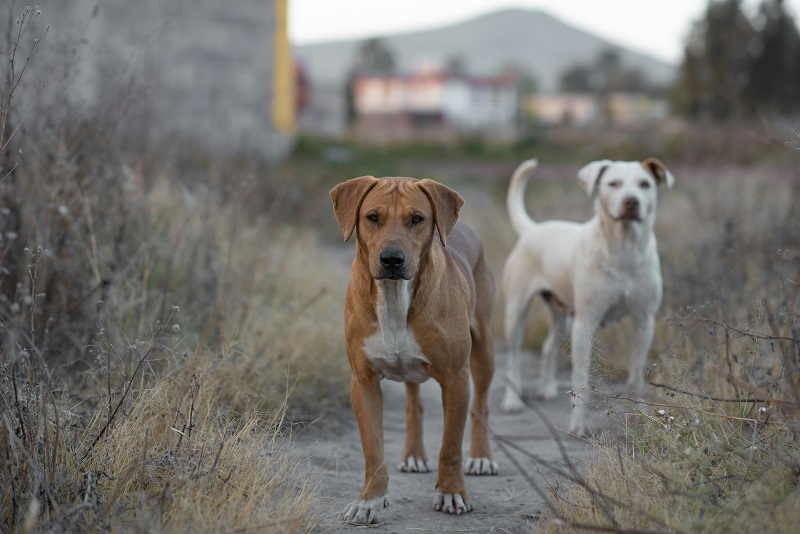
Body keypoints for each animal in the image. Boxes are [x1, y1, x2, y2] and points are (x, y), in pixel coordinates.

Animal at [330, 177, 494, 528]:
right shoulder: (363, 382)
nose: (392, 259)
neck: (394, 297)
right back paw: (415, 455)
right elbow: (373, 450)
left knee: (482, 406)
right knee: (413, 405)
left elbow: (451, 447)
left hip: (485, 349)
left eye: (417, 219)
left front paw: (452, 492)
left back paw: (481, 457)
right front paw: (370, 500)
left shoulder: (456, 379)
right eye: (372, 217)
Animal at [500, 158, 676, 436]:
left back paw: (547, 388)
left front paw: (639, 416)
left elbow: (636, 374)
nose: (631, 202)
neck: (623, 248)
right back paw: (512, 401)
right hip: (516, 311)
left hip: (561, 314)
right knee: (513, 358)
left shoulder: (644, 321)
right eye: (613, 184)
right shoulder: (585, 323)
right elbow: (581, 378)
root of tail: (533, 229)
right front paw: (578, 425)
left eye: (644, 184)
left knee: (548, 347)